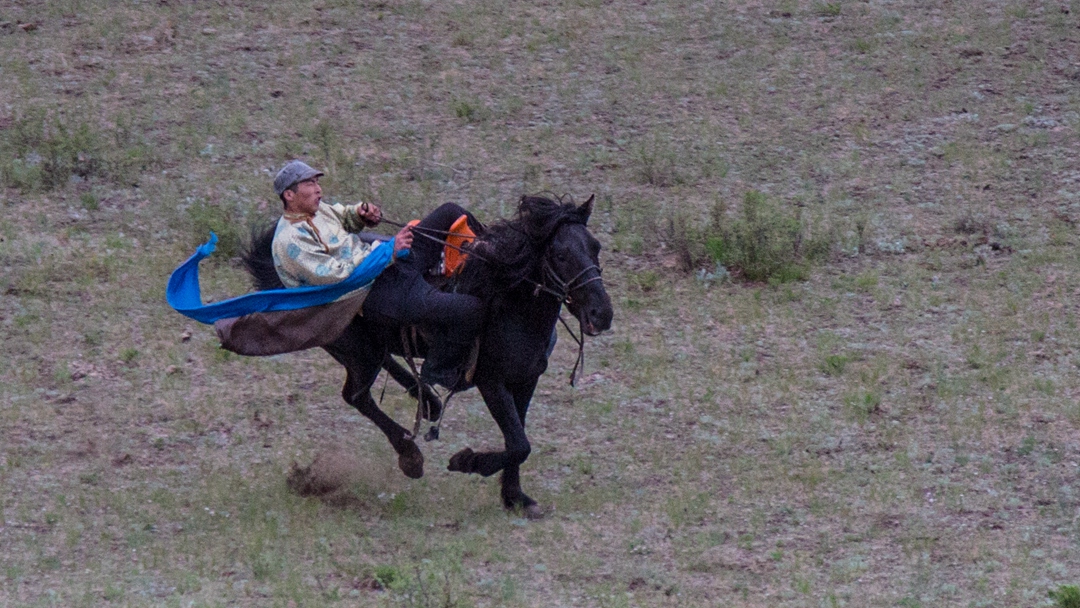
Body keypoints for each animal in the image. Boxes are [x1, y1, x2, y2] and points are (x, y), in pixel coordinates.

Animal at [246, 195, 617, 518]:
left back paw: (427, 400)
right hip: (357, 349)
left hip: (366, 347)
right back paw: (410, 454)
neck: (507, 299)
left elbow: (519, 438)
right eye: (560, 254)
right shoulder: (492, 382)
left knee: (381, 372)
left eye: (595, 246)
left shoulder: (525, 380)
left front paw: (515, 497)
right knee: (357, 396)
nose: (602, 314)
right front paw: (467, 463)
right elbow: (518, 443)